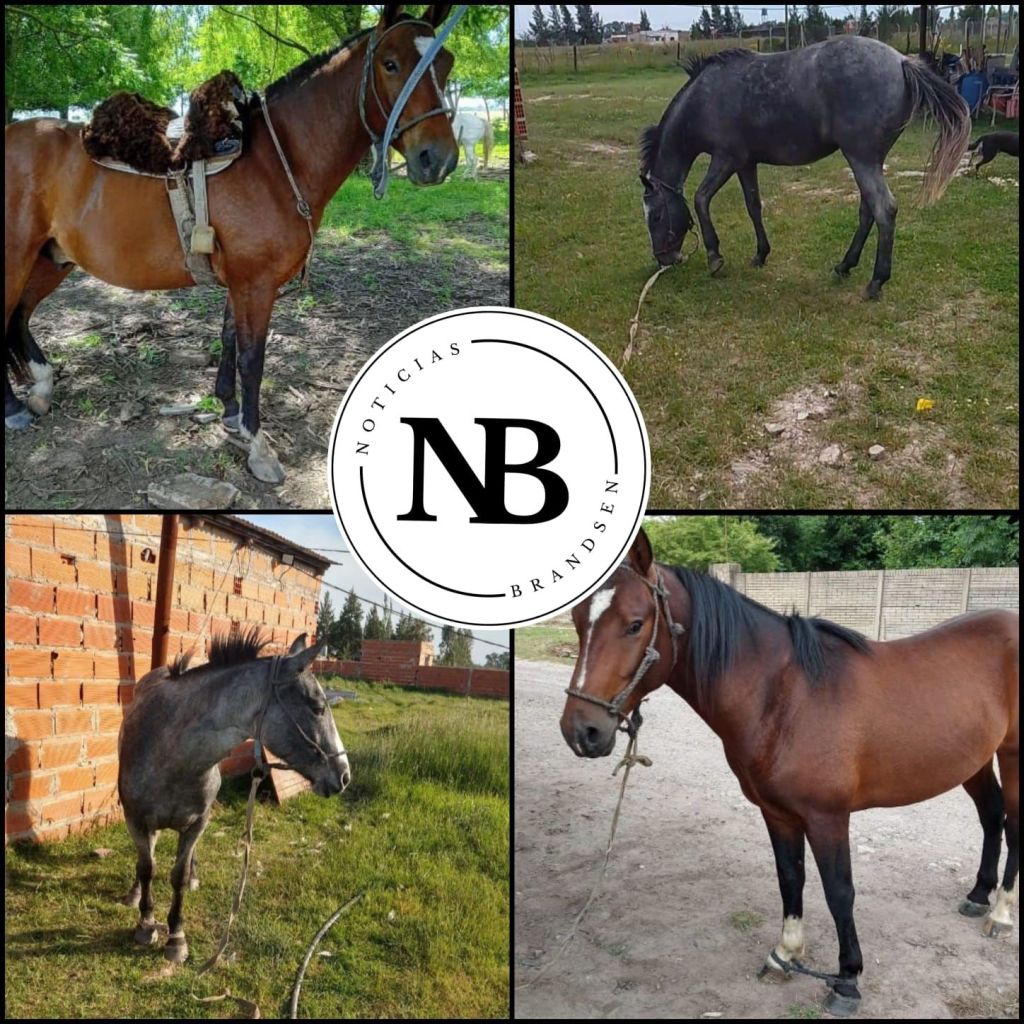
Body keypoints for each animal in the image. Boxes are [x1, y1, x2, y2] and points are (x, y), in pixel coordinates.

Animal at [5, 3, 460, 483]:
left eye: (445, 63)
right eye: (390, 64)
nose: (438, 159)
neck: (275, 162)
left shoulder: (241, 283)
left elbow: (227, 342)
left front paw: (228, 412)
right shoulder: (256, 286)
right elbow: (252, 359)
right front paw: (258, 445)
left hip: (50, 259)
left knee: (18, 317)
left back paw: (40, 387)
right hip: (17, 256)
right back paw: (14, 408)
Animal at [118, 629, 349, 964]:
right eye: (318, 707)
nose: (344, 775)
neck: (171, 754)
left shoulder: (198, 823)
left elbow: (178, 875)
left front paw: (176, 936)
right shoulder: (135, 820)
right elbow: (147, 868)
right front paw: (146, 923)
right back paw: (135, 892)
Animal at [559, 528, 1018, 1017]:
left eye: (634, 624)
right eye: (579, 622)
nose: (581, 731)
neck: (785, 696)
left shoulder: (827, 818)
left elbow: (839, 891)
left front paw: (847, 980)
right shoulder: (777, 813)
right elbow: (790, 878)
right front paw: (785, 954)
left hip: (1011, 755)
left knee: (1012, 825)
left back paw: (1001, 913)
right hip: (974, 760)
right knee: (992, 817)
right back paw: (978, 897)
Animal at [640, 36, 970, 299]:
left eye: (655, 216)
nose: (664, 259)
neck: (705, 97)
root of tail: (902, 61)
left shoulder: (726, 159)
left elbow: (700, 199)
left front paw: (714, 257)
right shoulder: (746, 163)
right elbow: (753, 206)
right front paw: (761, 254)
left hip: (861, 158)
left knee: (883, 209)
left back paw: (876, 282)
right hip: (869, 160)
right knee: (868, 210)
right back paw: (844, 266)